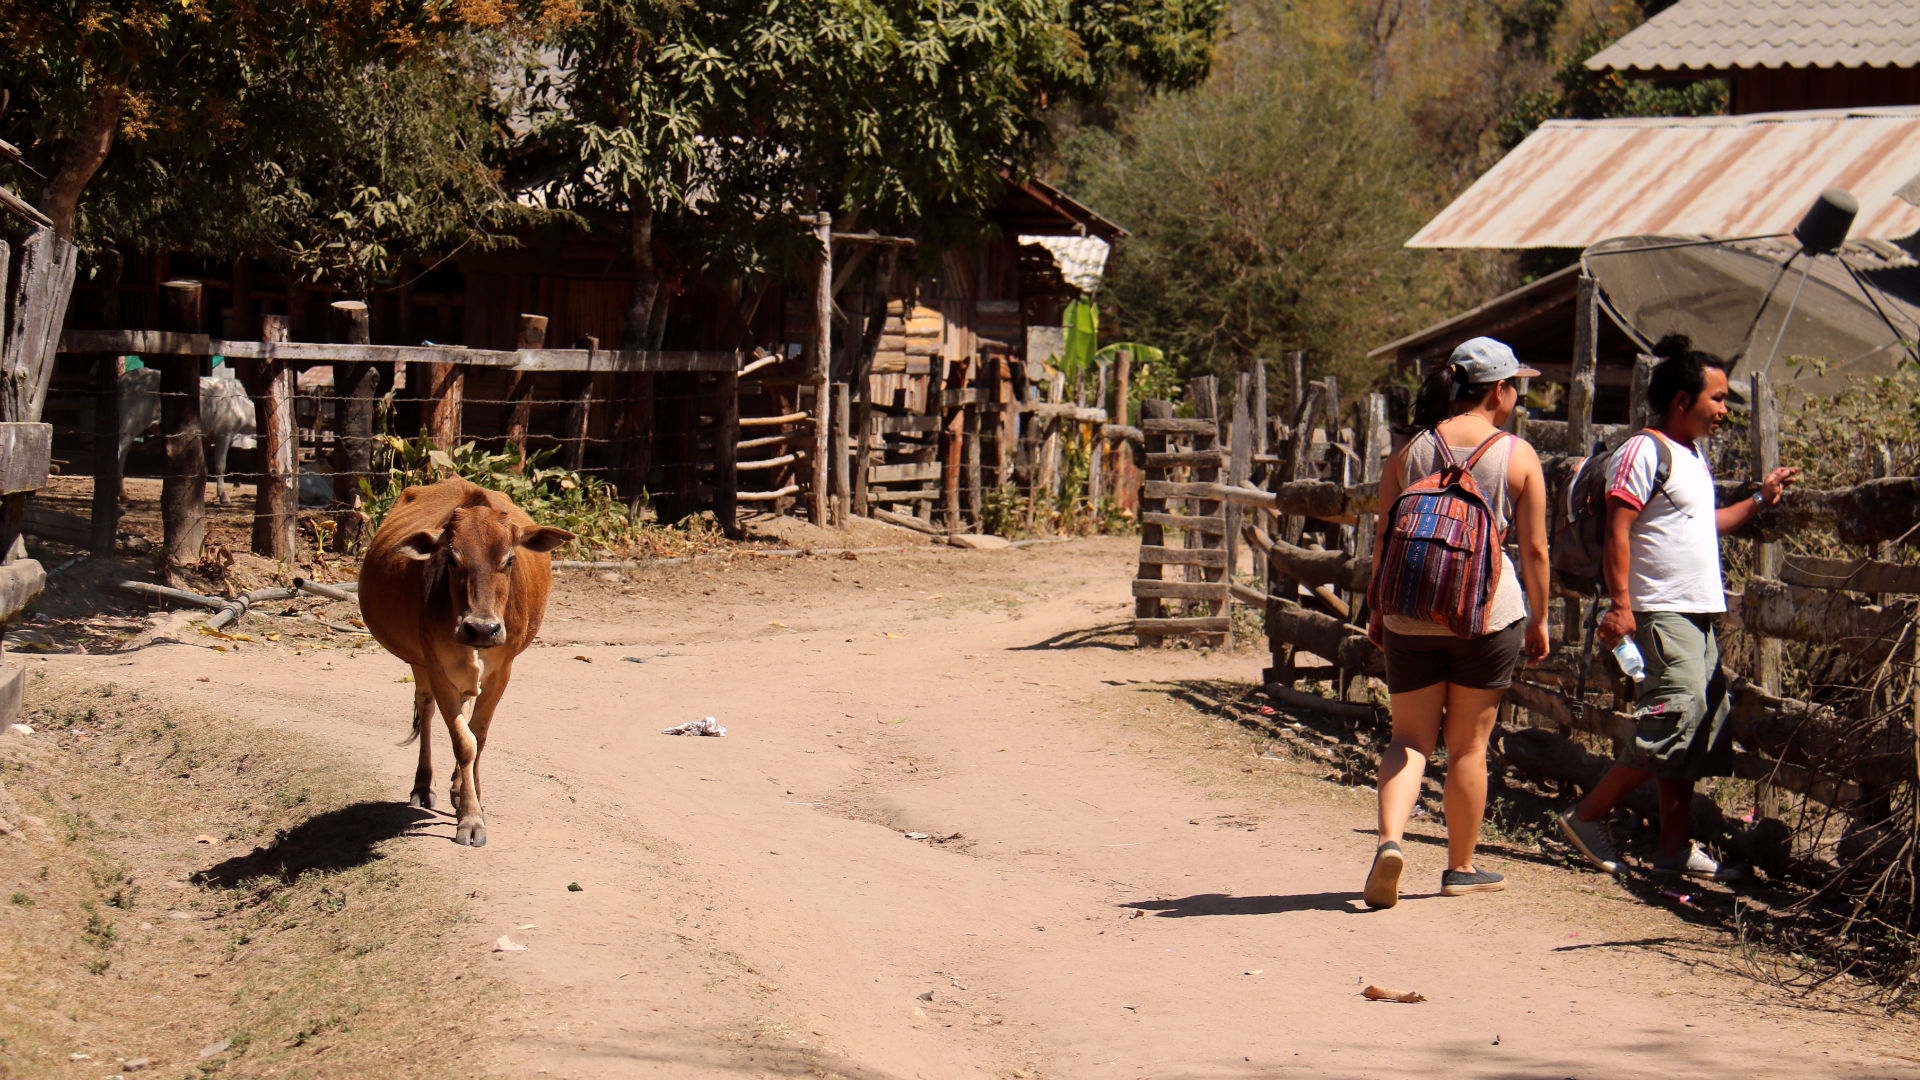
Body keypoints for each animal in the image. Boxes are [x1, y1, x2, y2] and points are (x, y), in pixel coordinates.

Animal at [118, 359, 259, 499]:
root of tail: (123, 379)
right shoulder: (224, 434)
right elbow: (220, 465)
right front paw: (223, 495)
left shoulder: (206, 438)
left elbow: (202, 466)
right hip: (129, 424)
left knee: (124, 453)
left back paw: (122, 493)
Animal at [359, 476, 568, 841]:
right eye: (452, 558)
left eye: (509, 560)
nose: (482, 629)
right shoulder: (436, 665)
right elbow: (463, 741)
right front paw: (471, 818)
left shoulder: (502, 670)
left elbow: (477, 736)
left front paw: (473, 800)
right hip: (419, 662)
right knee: (426, 708)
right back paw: (424, 785)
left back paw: (458, 786)